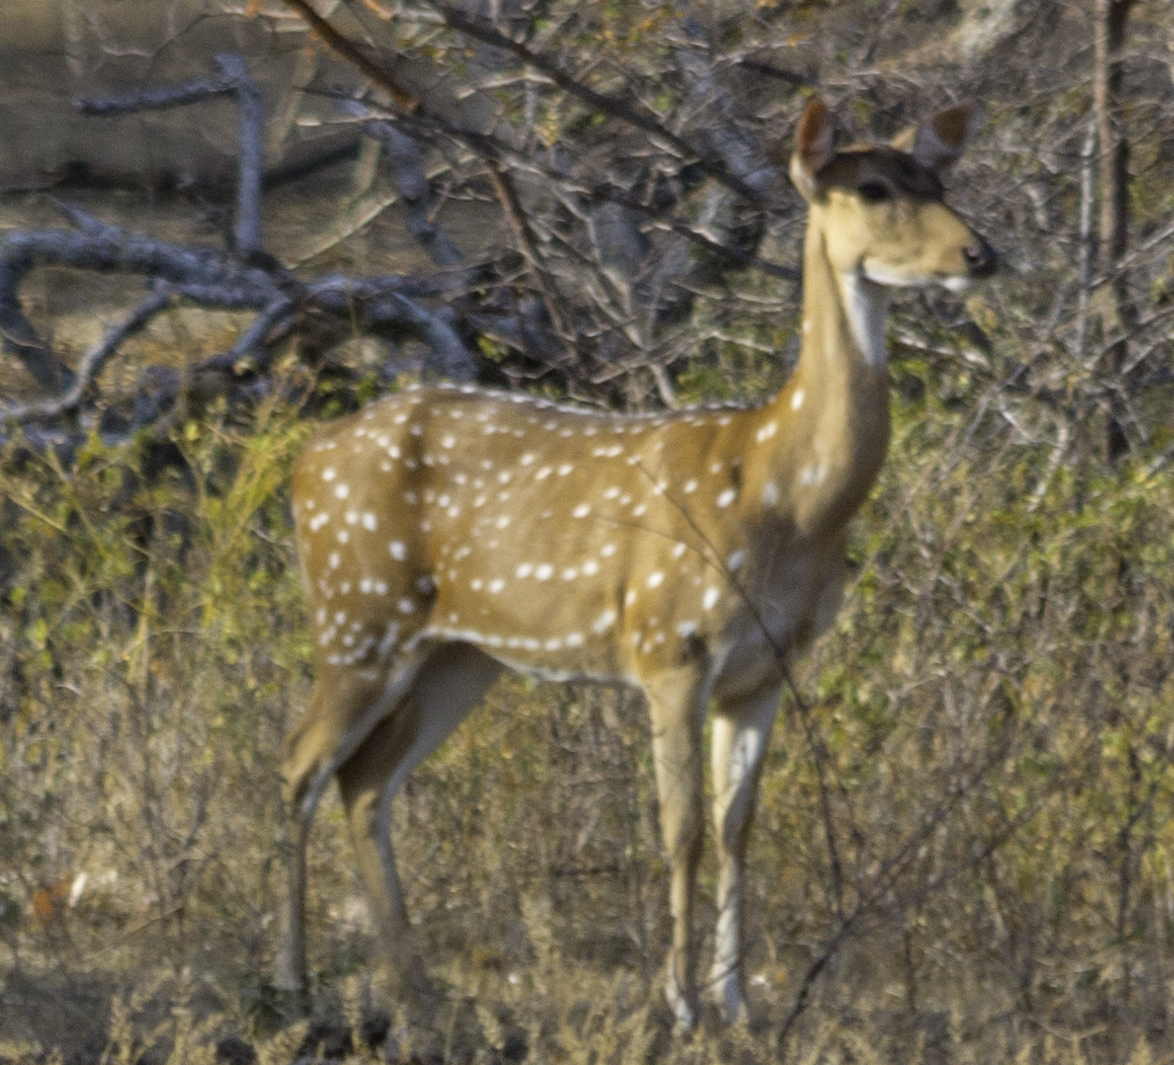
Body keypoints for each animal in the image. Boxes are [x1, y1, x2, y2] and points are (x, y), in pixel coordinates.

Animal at [277, 95, 1000, 1028]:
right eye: (873, 187)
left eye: (936, 181)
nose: (980, 253)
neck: (783, 493)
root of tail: (304, 459)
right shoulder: (670, 643)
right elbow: (680, 827)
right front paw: (681, 1003)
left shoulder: (766, 668)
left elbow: (737, 825)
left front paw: (738, 1002)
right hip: (356, 610)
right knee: (299, 765)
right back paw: (294, 986)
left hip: (459, 653)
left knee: (365, 782)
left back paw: (420, 991)